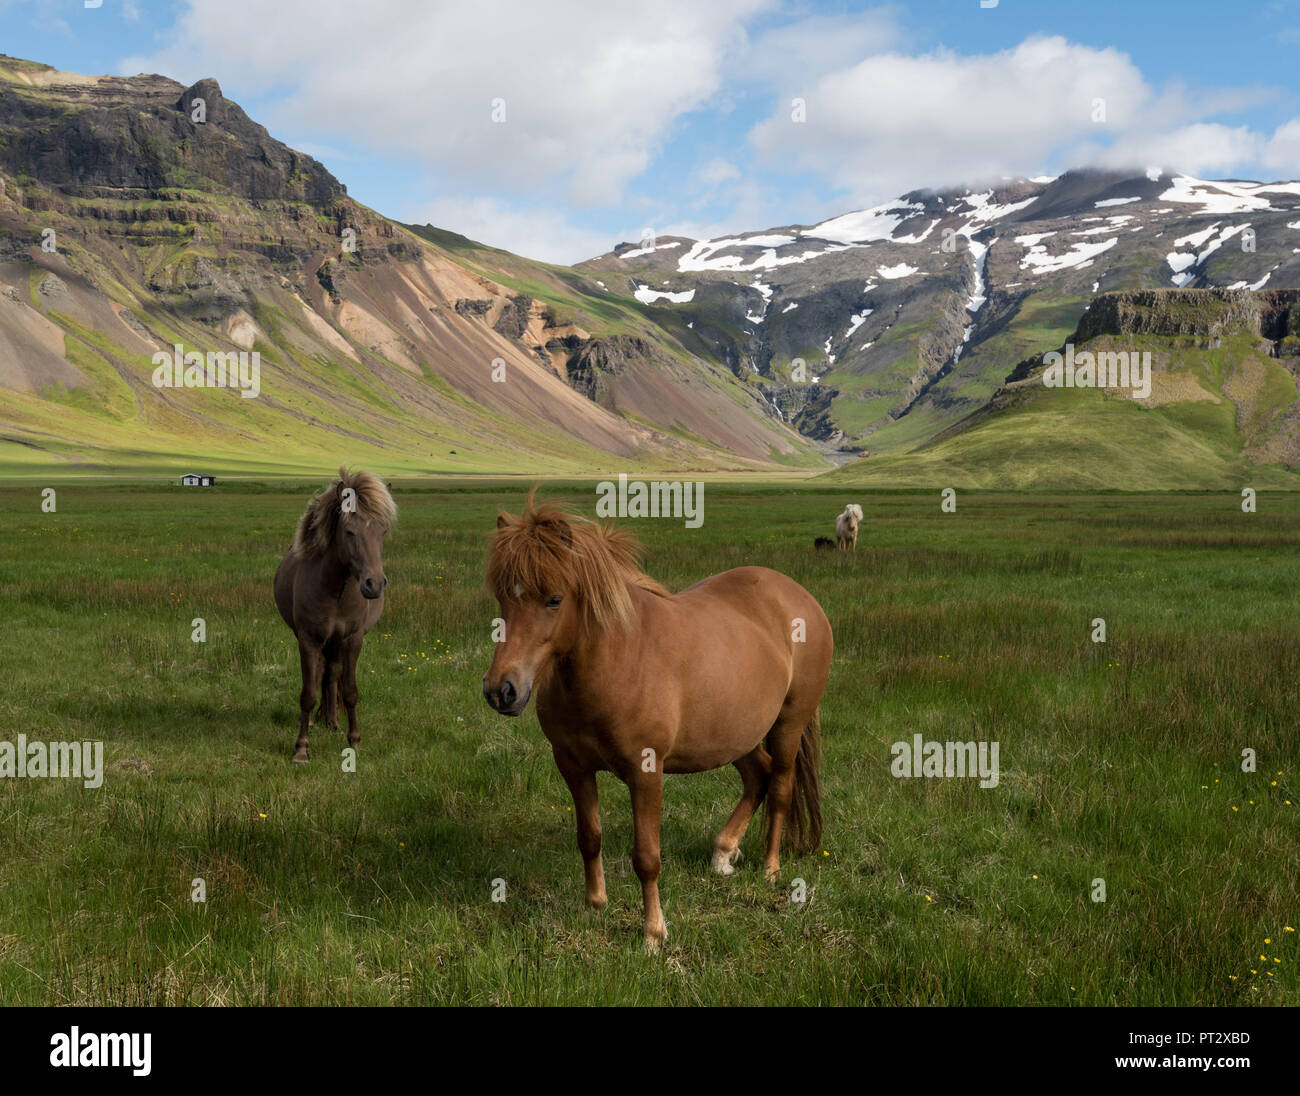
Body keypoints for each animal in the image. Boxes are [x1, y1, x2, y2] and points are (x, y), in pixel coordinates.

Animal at [274, 470, 395, 764]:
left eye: (382, 531)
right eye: (349, 531)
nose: (374, 584)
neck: (335, 591)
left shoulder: (352, 639)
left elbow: (349, 691)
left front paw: (355, 741)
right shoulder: (309, 639)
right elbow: (308, 693)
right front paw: (301, 749)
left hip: (337, 643)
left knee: (332, 674)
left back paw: (332, 721)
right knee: (321, 674)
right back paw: (316, 721)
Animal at [486, 496, 832, 951]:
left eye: (554, 600)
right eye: (502, 598)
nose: (501, 691)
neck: (617, 660)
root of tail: (800, 597)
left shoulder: (646, 772)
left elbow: (647, 858)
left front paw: (653, 933)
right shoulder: (573, 766)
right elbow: (589, 838)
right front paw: (595, 905)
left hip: (788, 725)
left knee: (780, 788)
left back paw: (770, 870)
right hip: (733, 736)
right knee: (757, 776)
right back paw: (723, 854)